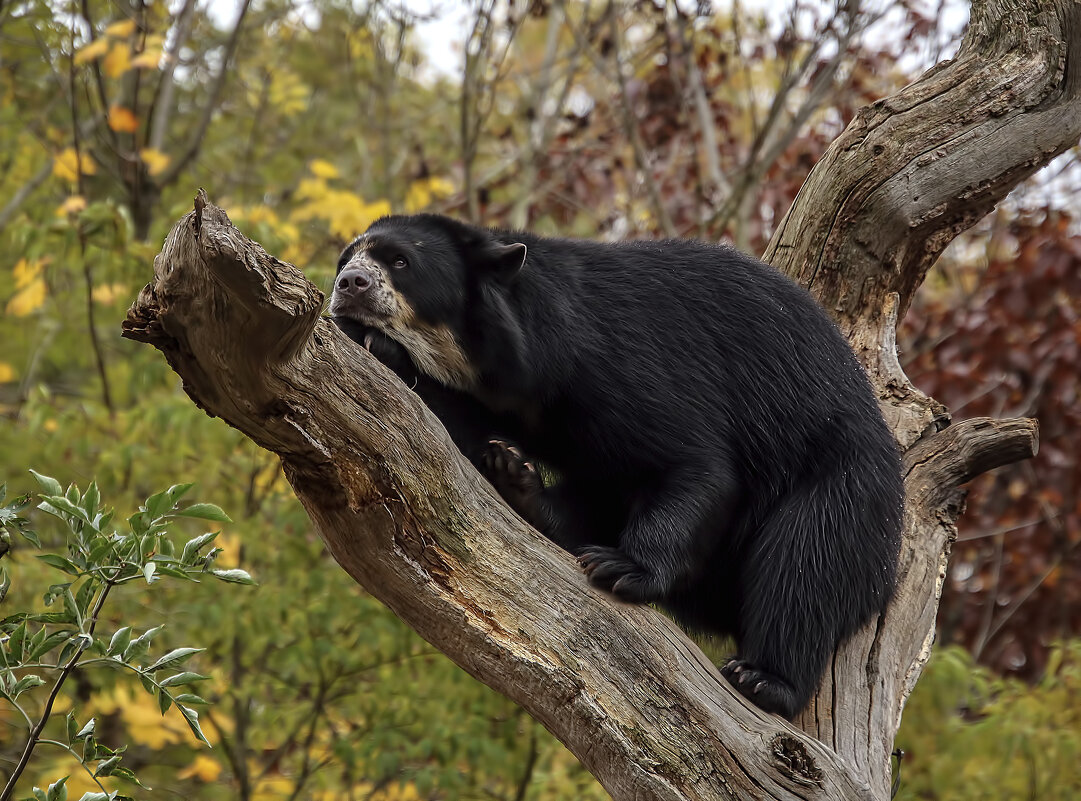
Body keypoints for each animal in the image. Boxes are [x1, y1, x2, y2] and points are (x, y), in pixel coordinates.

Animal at [328, 214, 903, 717]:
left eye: (400, 261)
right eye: (346, 257)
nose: (348, 283)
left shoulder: (616, 361)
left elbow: (693, 461)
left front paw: (624, 569)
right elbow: (455, 431)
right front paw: (380, 348)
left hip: (845, 485)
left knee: (805, 564)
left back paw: (763, 680)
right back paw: (521, 486)